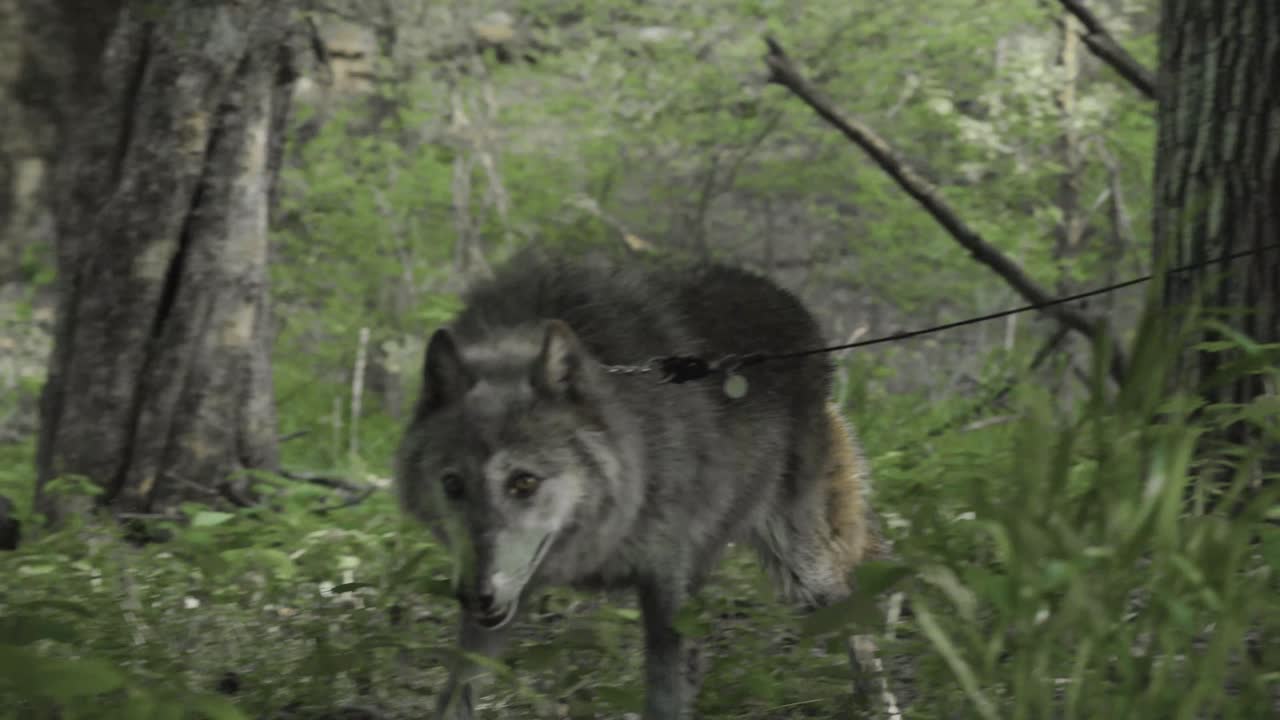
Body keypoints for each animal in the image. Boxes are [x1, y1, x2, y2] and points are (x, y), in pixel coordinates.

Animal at [395, 251, 883, 719]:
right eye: (453, 484)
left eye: (523, 482)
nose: (474, 596)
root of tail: (790, 302)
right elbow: (457, 695)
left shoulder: (664, 580)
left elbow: (664, 696)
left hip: (803, 572)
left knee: (857, 618)